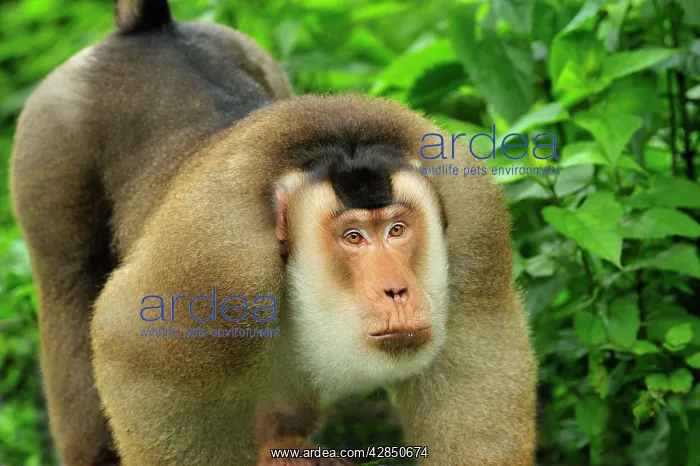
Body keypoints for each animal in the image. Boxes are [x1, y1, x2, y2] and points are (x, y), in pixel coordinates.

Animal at [9, 1, 537, 465]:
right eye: (354, 237)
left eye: (397, 229)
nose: (398, 290)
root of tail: (146, 31)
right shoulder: (218, 264)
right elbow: (129, 346)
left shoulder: (474, 221)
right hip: (49, 135)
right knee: (69, 285)